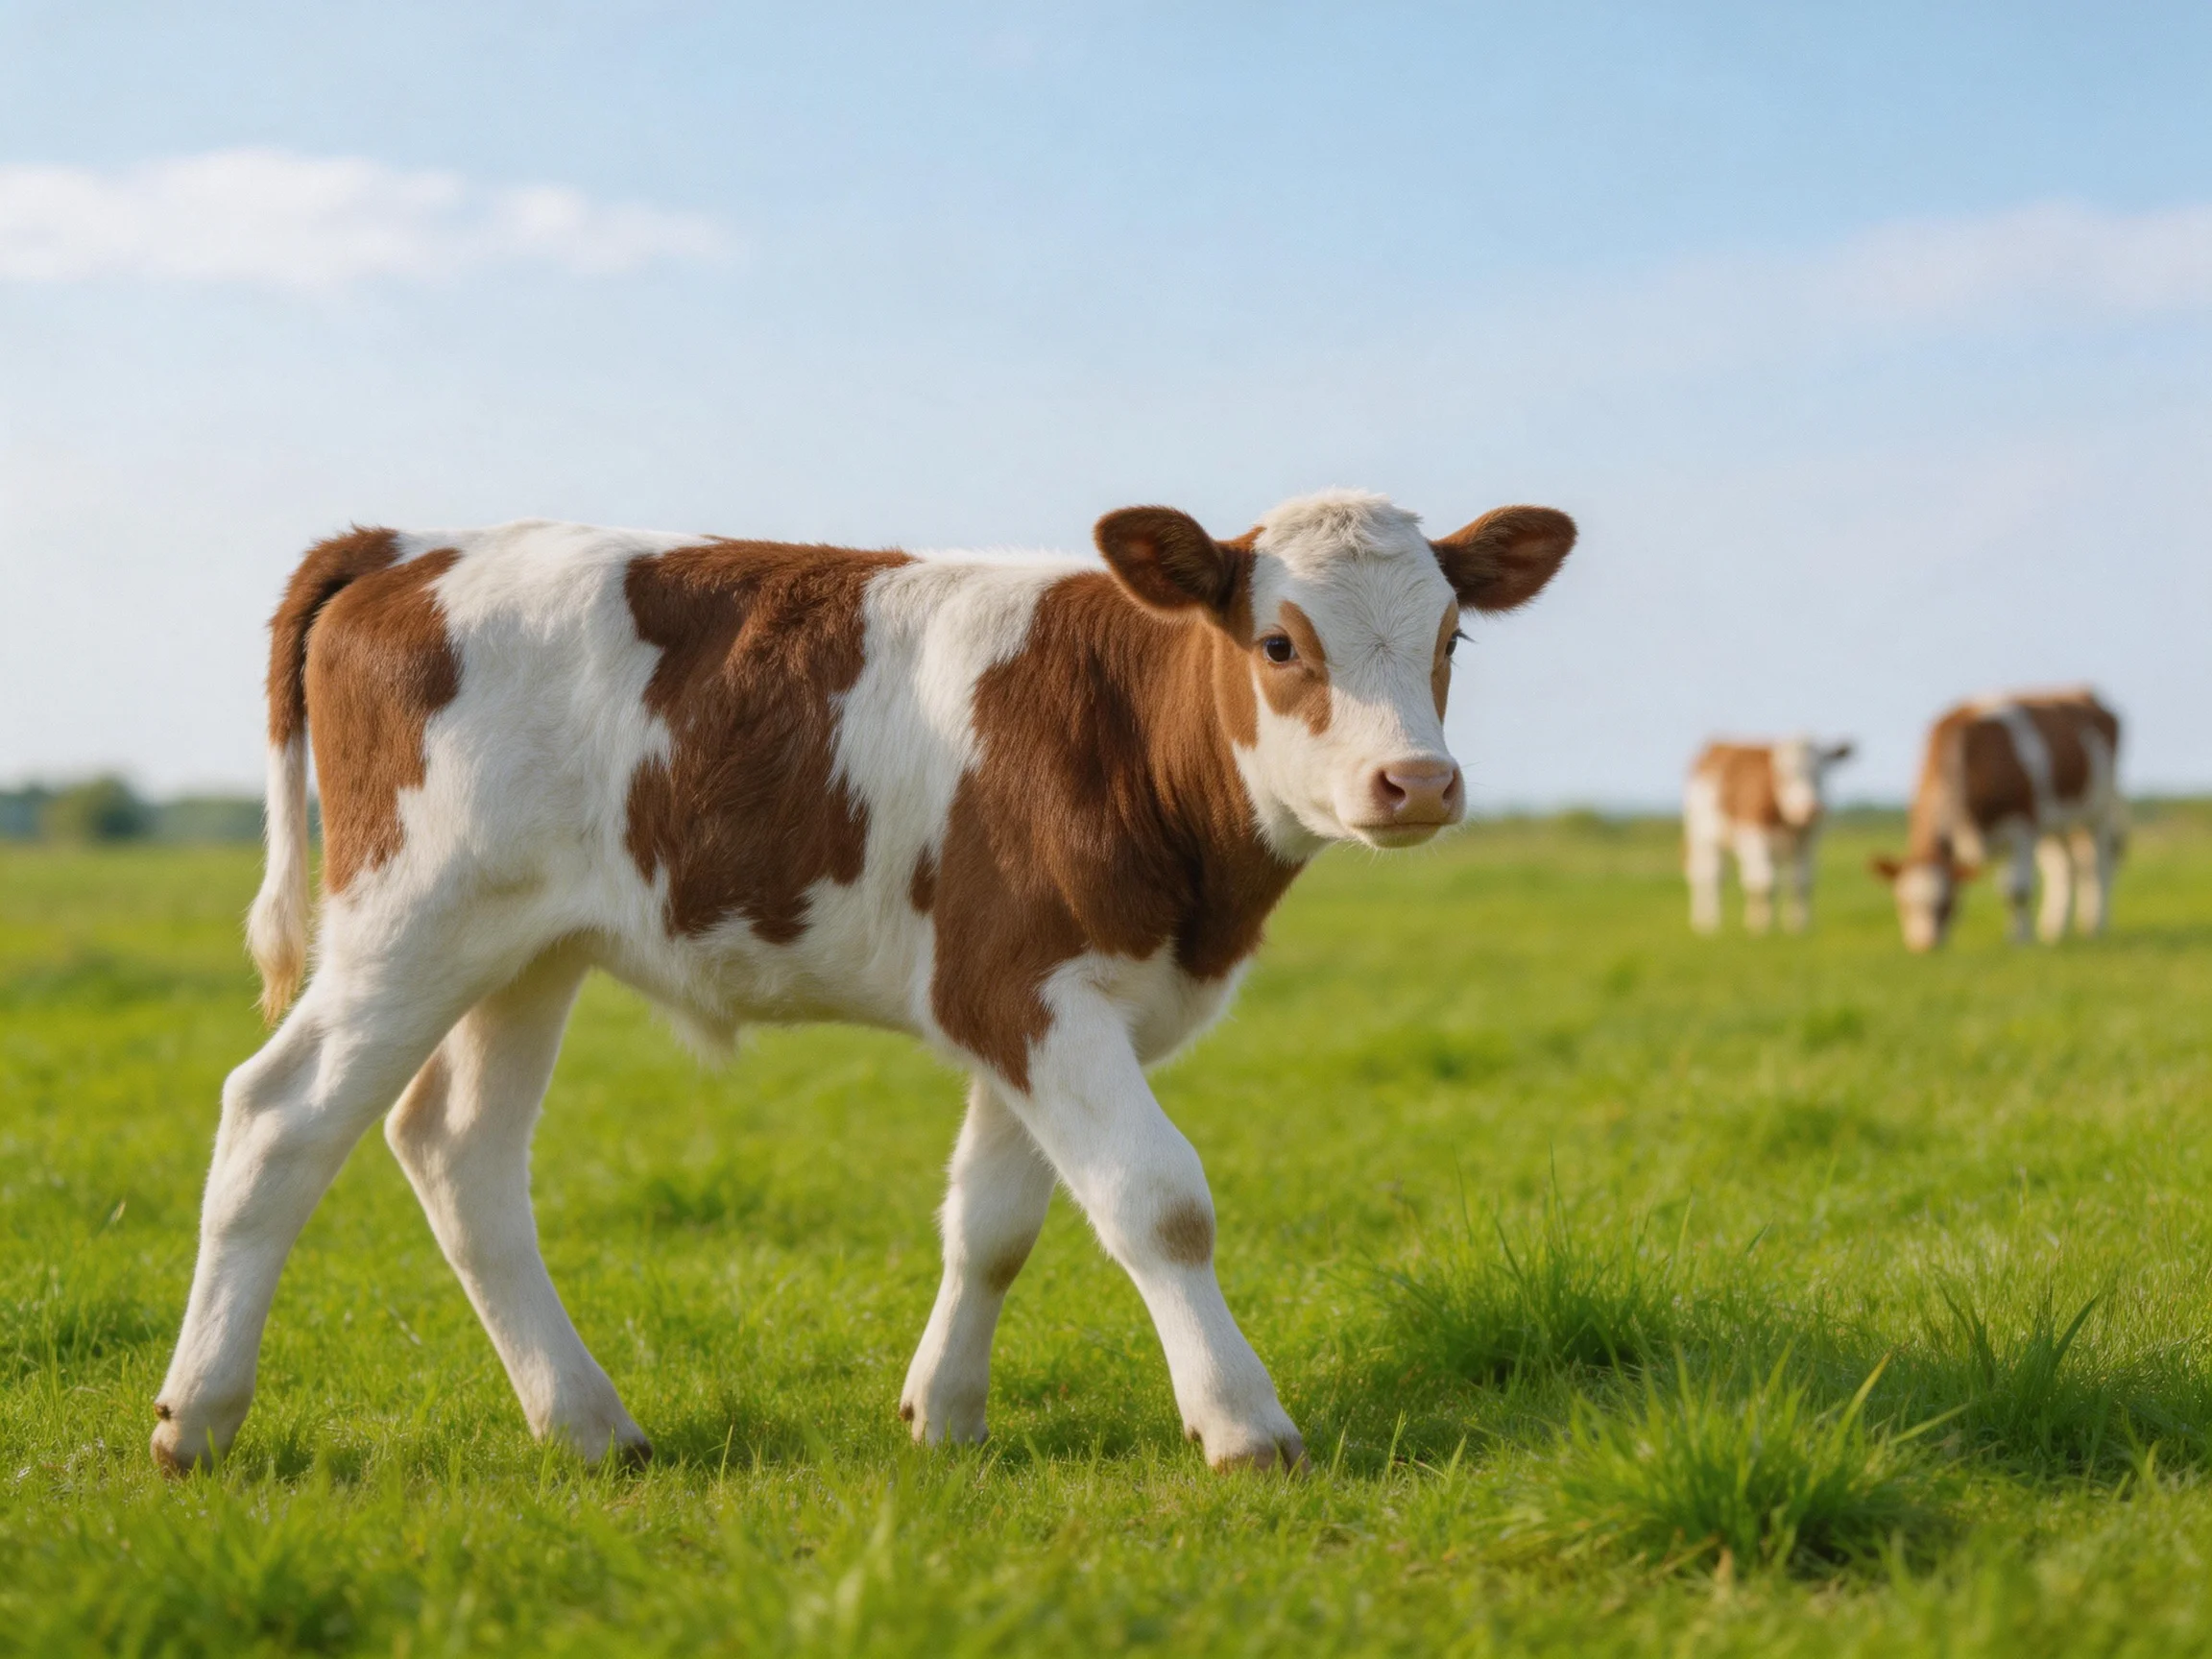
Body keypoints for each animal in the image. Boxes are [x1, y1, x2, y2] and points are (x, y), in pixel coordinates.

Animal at [149, 489, 1575, 1476]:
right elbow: (1158, 1204)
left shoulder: (1026, 1004)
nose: (1418, 783)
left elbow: (994, 1223)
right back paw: (198, 1419)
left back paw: (591, 1425)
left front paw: (943, 1414)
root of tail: (408, 544)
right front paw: (1243, 1423)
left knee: (458, 1148)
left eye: (1452, 637)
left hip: (522, 949)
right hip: (410, 921)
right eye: (1280, 643)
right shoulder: (1028, 990)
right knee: (278, 1120)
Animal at [1683, 738, 1855, 934]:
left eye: (1821, 772)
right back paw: (1709, 923)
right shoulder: (1753, 834)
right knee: (1710, 876)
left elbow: (1801, 882)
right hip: (1703, 836)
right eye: (1785, 776)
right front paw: (1763, 927)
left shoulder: (1807, 841)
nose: (1810, 810)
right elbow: (1765, 882)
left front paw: (1799, 925)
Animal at [1870, 688, 2122, 952]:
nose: (1924, 946)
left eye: (1947, 903)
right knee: (2064, 868)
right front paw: (2017, 935)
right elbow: (2006, 889)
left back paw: (2095, 925)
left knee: (2097, 865)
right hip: (2056, 823)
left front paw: (2020, 940)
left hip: (2098, 810)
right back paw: (2053, 930)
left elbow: (2018, 889)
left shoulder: (2022, 828)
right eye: (1902, 903)